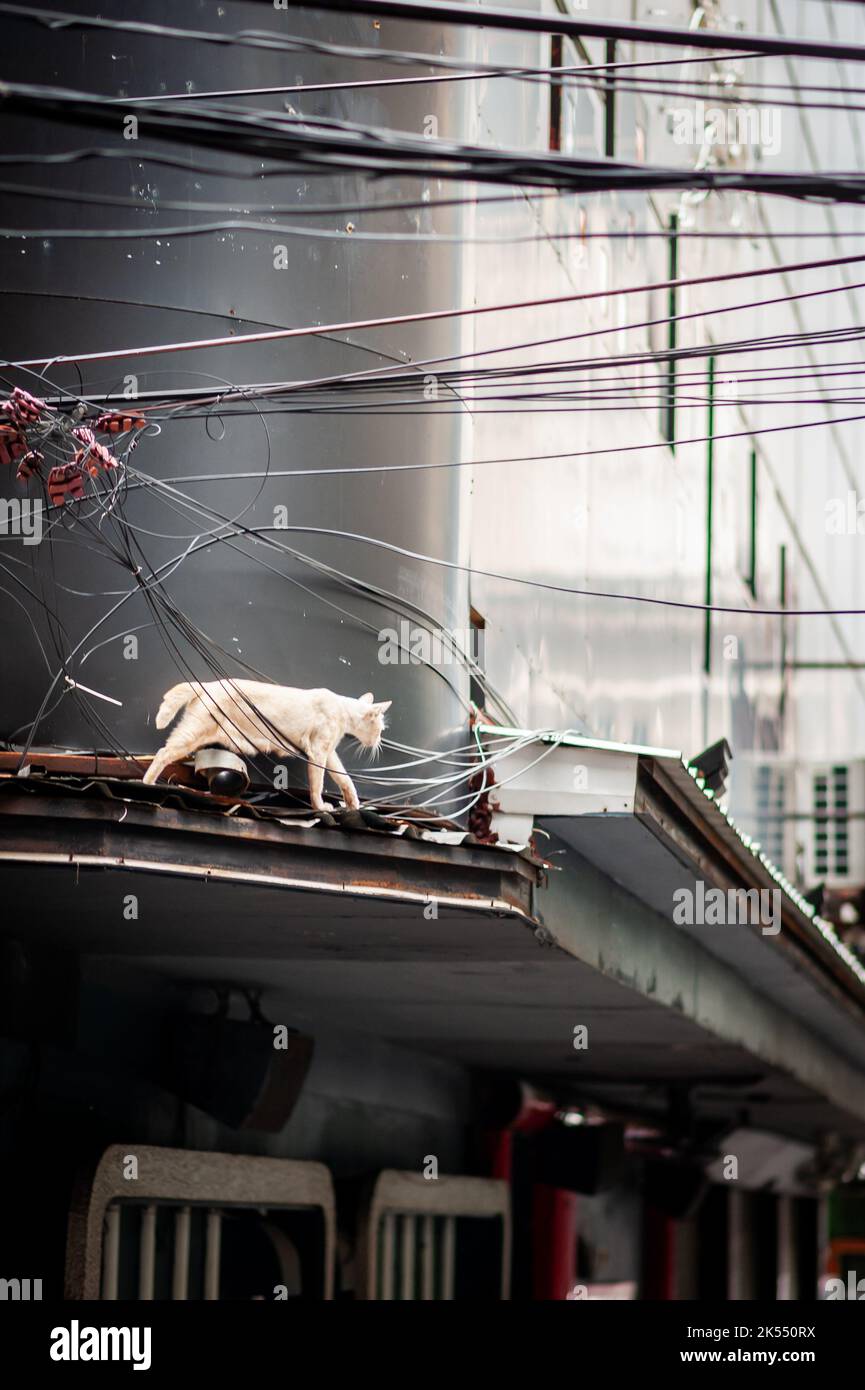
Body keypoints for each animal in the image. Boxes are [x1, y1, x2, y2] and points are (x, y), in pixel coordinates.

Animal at [142, 678, 392, 811]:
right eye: (380, 729)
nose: (379, 741)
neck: (342, 709)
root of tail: (209, 683)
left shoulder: (329, 753)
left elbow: (343, 778)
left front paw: (353, 803)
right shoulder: (319, 751)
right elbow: (318, 784)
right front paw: (320, 807)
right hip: (193, 733)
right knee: (163, 752)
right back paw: (148, 784)